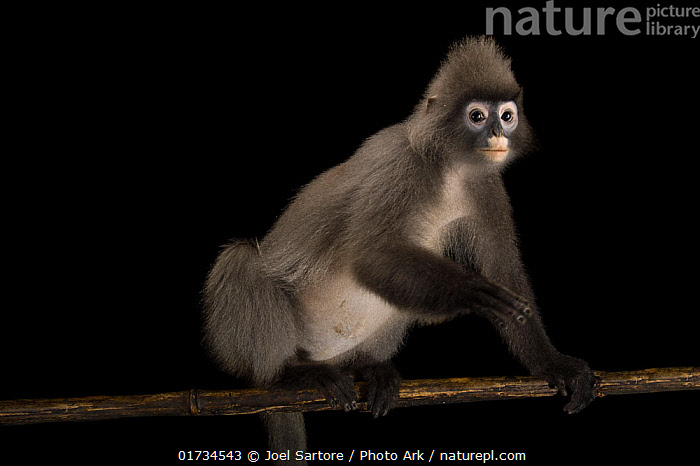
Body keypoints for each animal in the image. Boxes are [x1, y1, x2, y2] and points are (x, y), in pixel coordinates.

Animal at [203, 36, 596, 462]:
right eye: (477, 116)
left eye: (507, 116)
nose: (497, 133)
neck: (450, 169)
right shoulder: (402, 167)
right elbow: (371, 257)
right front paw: (470, 292)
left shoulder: (486, 187)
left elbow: (503, 272)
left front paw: (554, 365)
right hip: (251, 346)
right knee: (241, 258)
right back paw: (289, 374)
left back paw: (369, 367)